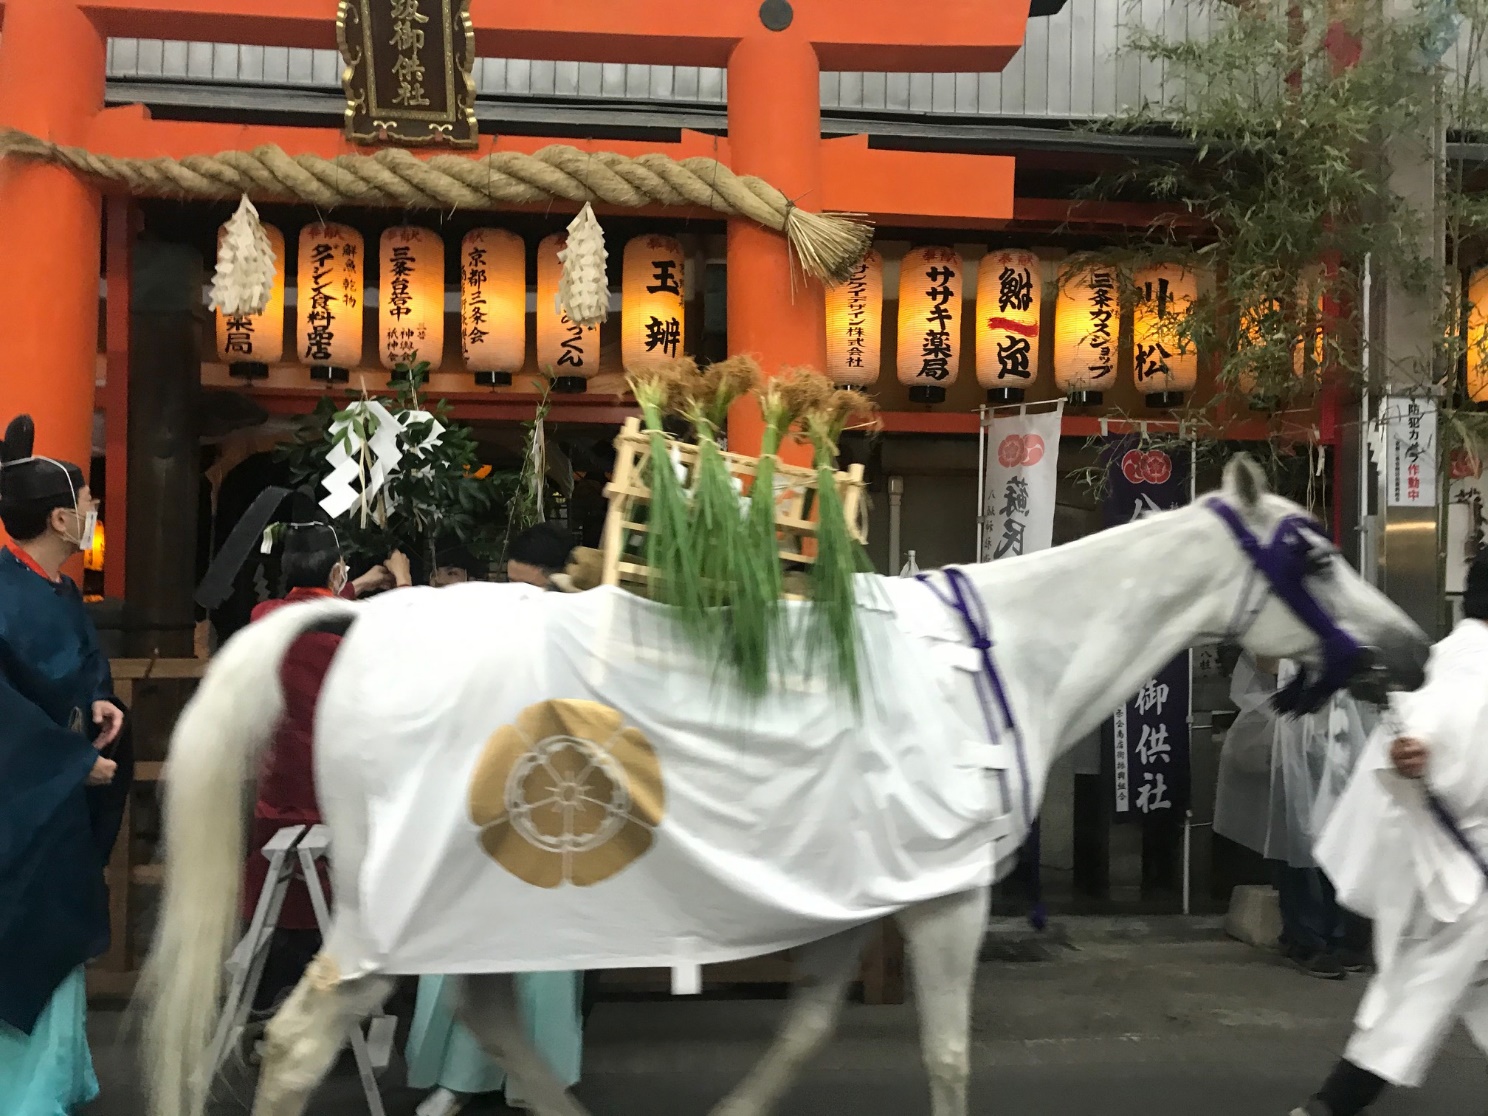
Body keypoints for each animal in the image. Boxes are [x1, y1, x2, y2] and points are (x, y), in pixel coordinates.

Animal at [139, 458, 1428, 1116]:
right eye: (1315, 555)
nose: (1414, 650)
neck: (993, 662)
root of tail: (364, 617)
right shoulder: (946, 900)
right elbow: (947, 1059)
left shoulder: (849, 895)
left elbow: (805, 1031)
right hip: (404, 903)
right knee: (302, 1037)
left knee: (489, 1016)